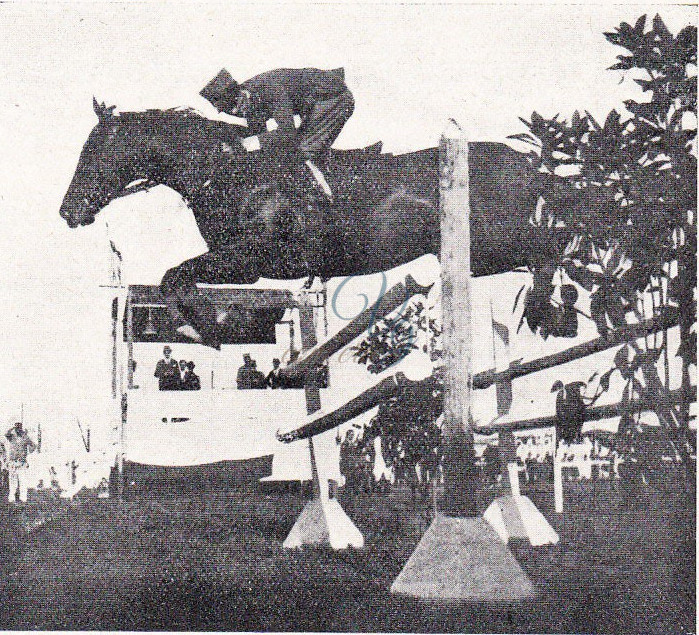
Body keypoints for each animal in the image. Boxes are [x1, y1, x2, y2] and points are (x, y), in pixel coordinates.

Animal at [60, 101, 548, 346]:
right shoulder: (242, 266)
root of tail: (527, 163)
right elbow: (177, 279)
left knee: (553, 248)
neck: (228, 173)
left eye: (93, 153)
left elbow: (175, 277)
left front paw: (208, 331)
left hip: (496, 246)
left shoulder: (251, 259)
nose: (68, 211)